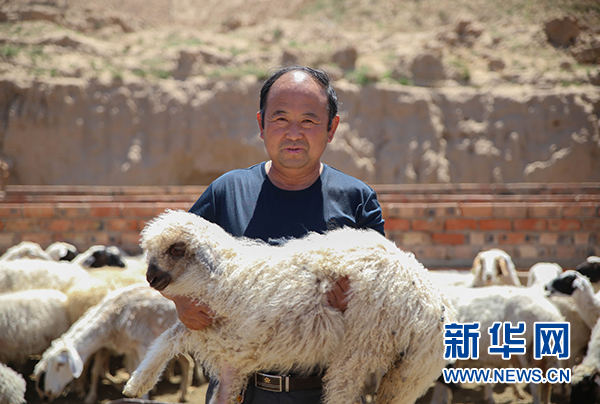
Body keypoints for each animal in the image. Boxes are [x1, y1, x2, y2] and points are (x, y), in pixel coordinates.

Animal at [35, 283, 193, 404]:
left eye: (60, 364)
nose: (48, 392)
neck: (113, 314)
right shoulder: (129, 350)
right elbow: (126, 371)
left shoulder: (144, 346)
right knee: (187, 362)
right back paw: (183, 394)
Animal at [122, 209, 455, 404]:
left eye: (177, 249)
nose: (151, 278)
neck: (226, 276)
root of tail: (430, 292)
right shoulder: (220, 340)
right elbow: (166, 340)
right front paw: (136, 384)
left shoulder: (232, 339)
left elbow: (169, 339)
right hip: (404, 372)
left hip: (365, 347)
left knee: (342, 390)